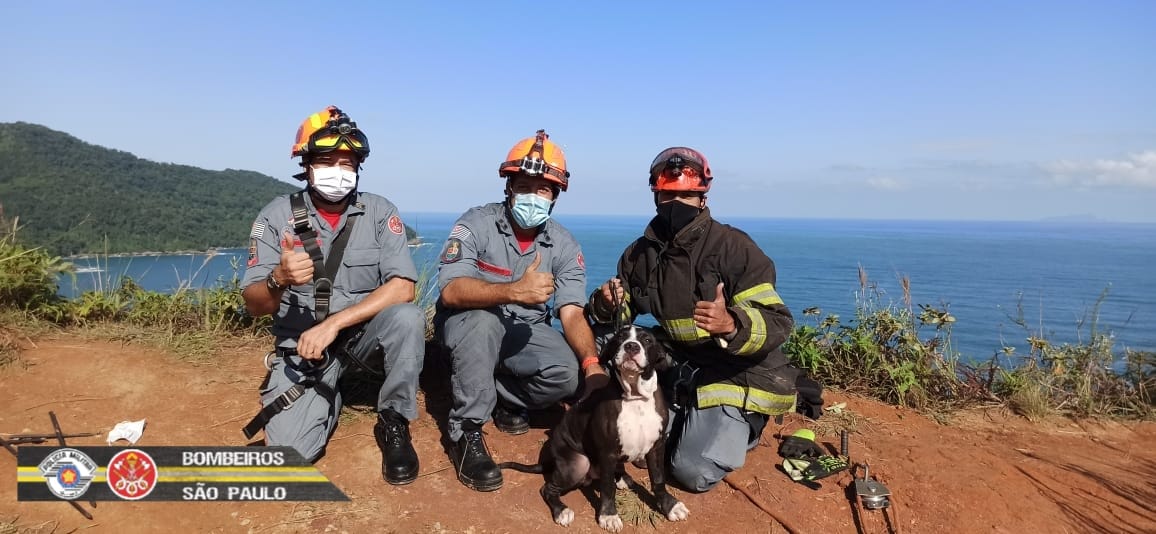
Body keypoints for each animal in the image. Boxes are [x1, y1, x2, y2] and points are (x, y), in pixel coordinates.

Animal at [501, 325, 688, 529]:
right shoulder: (607, 452)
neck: (635, 396)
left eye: (647, 340)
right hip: (578, 463)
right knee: (547, 488)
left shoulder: (657, 446)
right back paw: (561, 511)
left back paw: (622, 478)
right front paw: (609, 515)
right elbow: (607, 488)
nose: (631, 346)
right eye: (620, 338)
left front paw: (669, 505)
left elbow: (659, 479)